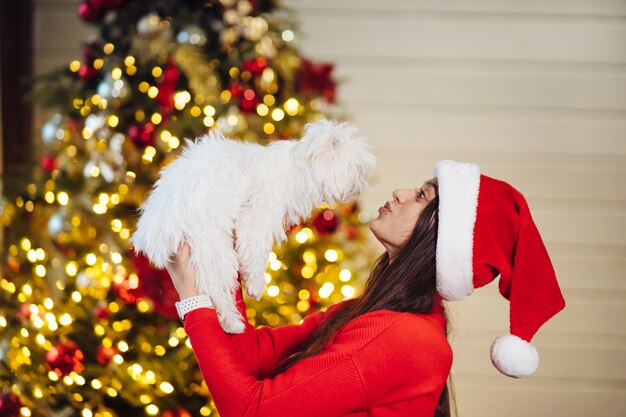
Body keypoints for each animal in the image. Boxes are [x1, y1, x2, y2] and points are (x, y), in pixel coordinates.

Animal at [130, 118, 376, 334]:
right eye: (357, 166)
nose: (365, 179)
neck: (296, 169)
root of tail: (156, 226)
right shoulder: (257, 215)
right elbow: (254, 253)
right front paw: (256, 285)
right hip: (211, 245)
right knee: (215, 289)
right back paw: (233, 323)